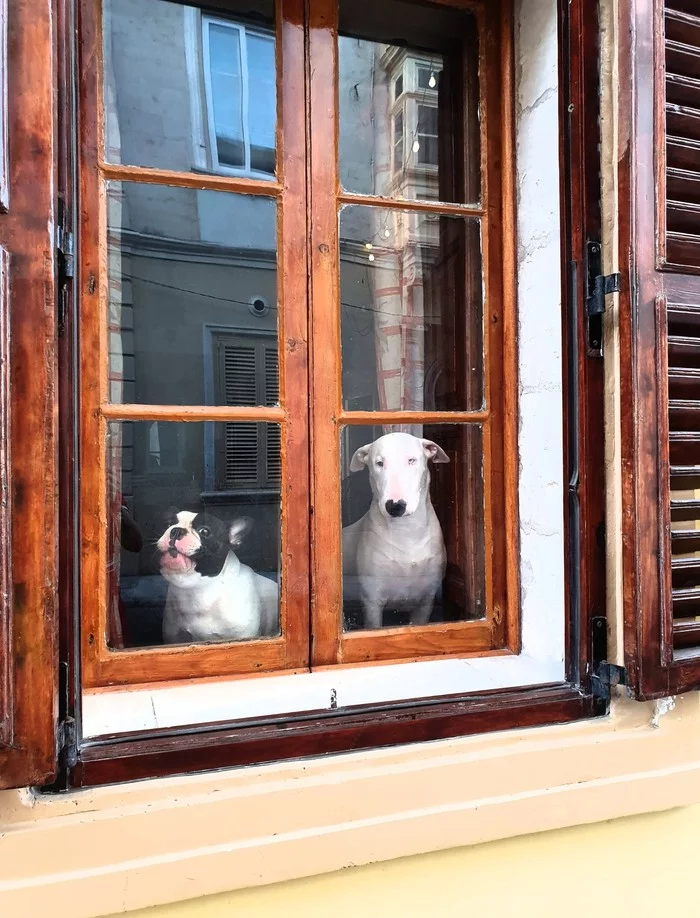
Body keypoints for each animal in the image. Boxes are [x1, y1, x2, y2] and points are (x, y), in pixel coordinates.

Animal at [344, 434, 452, 628]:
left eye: (411, 460)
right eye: (379, 463)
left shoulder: (425, 601)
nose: (395, 506)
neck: (406, 532)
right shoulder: (372, 601)